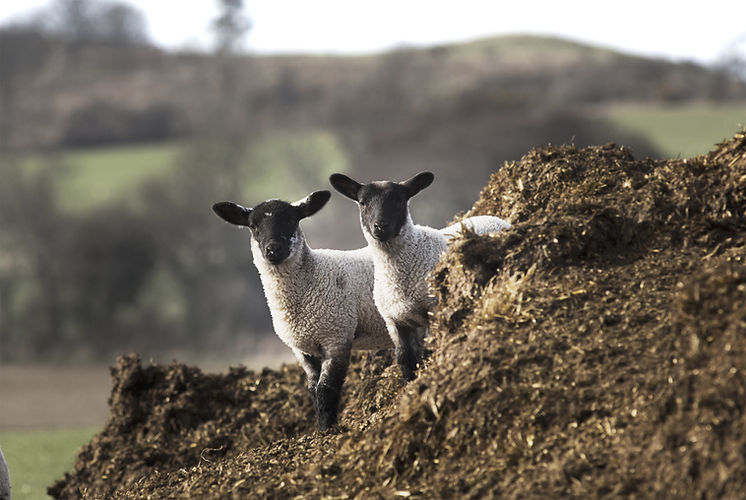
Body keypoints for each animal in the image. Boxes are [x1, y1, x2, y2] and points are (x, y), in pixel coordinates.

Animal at [212, 190, 391, 431]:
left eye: (291, 220)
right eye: (253, 226)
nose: (273, 249)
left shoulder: (336, 336)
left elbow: (326, 388)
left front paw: (327, 431)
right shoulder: (302, 348)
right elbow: (312, 389)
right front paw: (322, 427)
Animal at [330, 171, 510, 380]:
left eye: (399, 199)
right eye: (362, 202)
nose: (380, 227)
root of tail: (492, 217)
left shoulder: (432, 307)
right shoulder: (396, 322)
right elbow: (406, 360)